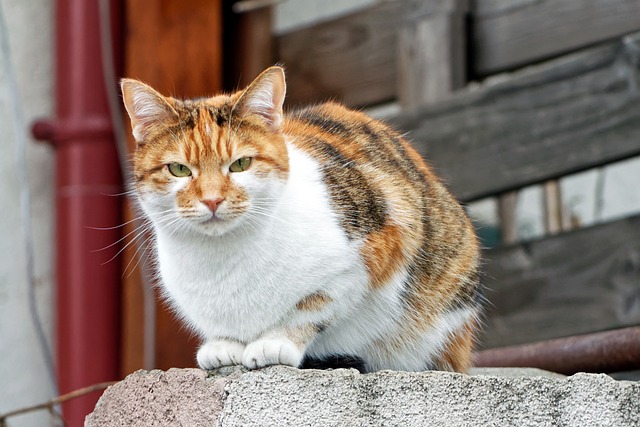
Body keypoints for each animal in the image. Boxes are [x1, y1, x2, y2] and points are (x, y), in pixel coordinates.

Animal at [121, 65, 480, 372]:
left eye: (241, 164)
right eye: (178, 169)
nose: (212, 199)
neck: (221, 259)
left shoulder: (373, 250)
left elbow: (312, 306)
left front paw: (276, 341)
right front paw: (223, 344)